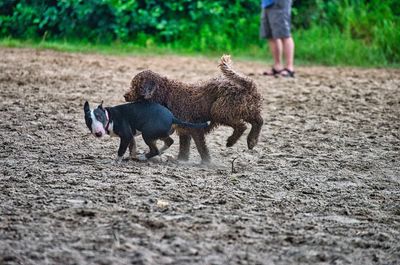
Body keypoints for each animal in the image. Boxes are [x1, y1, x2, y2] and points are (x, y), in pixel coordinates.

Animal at [123, 54, 264, 162]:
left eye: (135, 86)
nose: (125, 95)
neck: (165, 93)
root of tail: (247, 86)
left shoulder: (194, 128)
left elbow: (201, 147)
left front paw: (206, 162)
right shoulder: (184, 130)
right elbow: (184, 147)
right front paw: (181, 160)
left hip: (220, 110)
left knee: (242, 126)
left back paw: (231, 141)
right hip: (244, 109)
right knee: (258, 121)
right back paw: (252, 141)